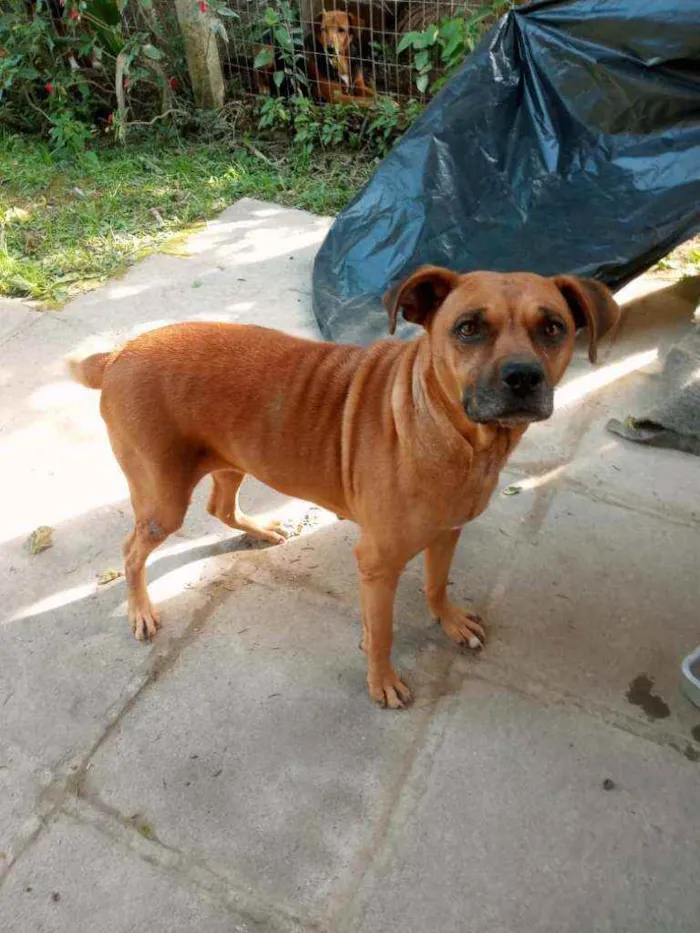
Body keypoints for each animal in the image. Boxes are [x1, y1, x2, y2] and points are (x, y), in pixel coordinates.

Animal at [69, 268, 616, 708]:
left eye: (553, 328)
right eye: (468, 328)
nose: (523, 377)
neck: (453, 435)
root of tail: (118, 353)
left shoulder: (447, 532)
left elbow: (437, 584)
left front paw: (449, 620)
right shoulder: (377, 565)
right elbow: (383, 632)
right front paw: (382, 680)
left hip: (231, 458)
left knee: (220, 506)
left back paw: (258, 532)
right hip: (162, 498)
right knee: (133, 550)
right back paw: (141, 610)